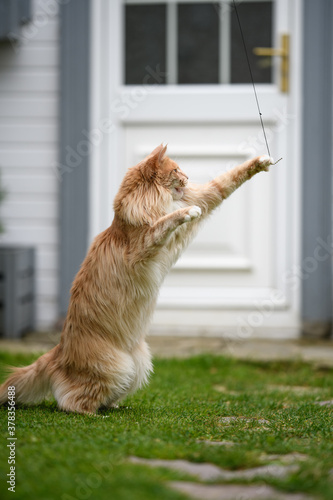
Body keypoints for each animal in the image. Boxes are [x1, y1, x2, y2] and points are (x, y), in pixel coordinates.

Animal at [0, 144, 274, 414]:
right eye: (177, 170)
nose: (187, 178)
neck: (151, 202)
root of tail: (58, 351)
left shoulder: (202, 197)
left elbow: (224, 182)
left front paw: (261, 161)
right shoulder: (144, 245)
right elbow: (166, 222)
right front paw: (186, 212)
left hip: (138, 363)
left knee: (103, 394)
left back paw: (114, 406)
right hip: (115, 366)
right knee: (70, 401)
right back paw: (93, 414)